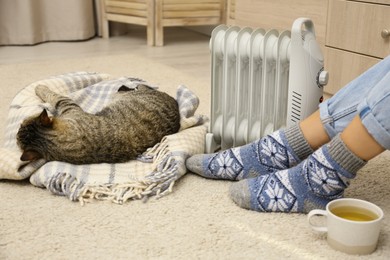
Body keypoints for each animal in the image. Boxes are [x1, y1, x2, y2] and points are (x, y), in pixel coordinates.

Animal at [15, 84, 180, 164]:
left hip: (125, 94)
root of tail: (174, 102)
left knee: (135, 87)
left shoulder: (68, 106)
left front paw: (39, 87)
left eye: (22, 122)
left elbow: (53, 95)